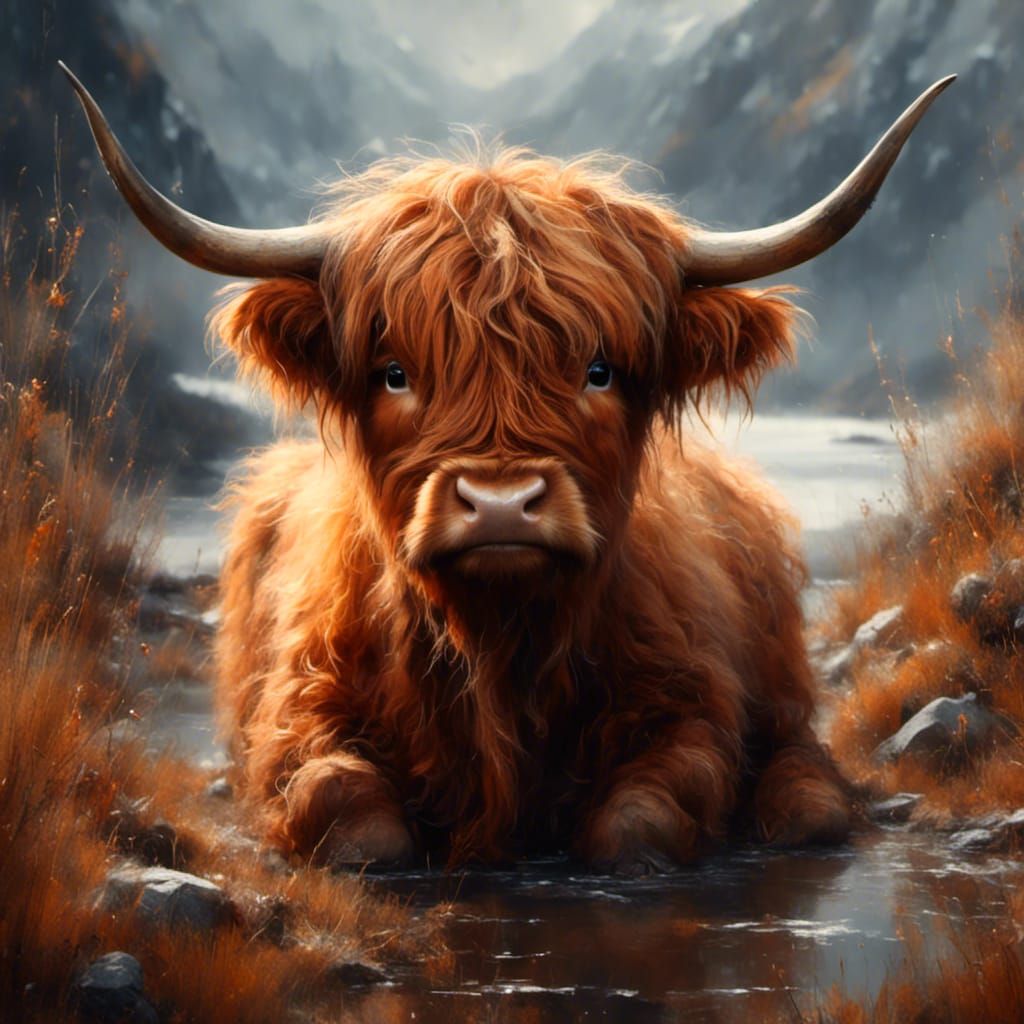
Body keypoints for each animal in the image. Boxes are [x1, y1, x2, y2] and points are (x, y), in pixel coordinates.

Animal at [63, 64, 953, 872]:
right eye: (395, 372)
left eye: (599, 370)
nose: (498, 503)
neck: (500, 651)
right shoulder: (300, 708)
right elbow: (349, 815)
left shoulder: (692, 705)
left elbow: (641, 824)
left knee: (799, 754)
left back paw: (807, 799)